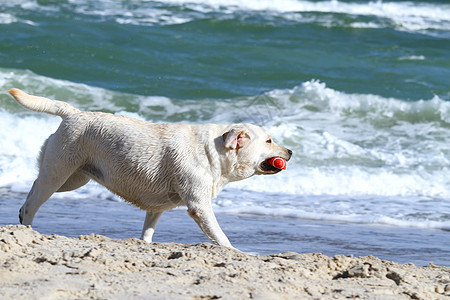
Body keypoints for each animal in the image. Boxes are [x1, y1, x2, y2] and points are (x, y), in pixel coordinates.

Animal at [9, 88, 296, 247]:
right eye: (269, 140)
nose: (291, 152)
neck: (214, 151)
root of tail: (74, 113)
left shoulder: (157, 207)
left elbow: (148, 231)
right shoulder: (199, 206)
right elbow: (221, 237)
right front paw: (235, 251)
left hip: (73, 179)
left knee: (34, 187)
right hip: (59, 173)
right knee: (34, 201)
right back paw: (27, 230)